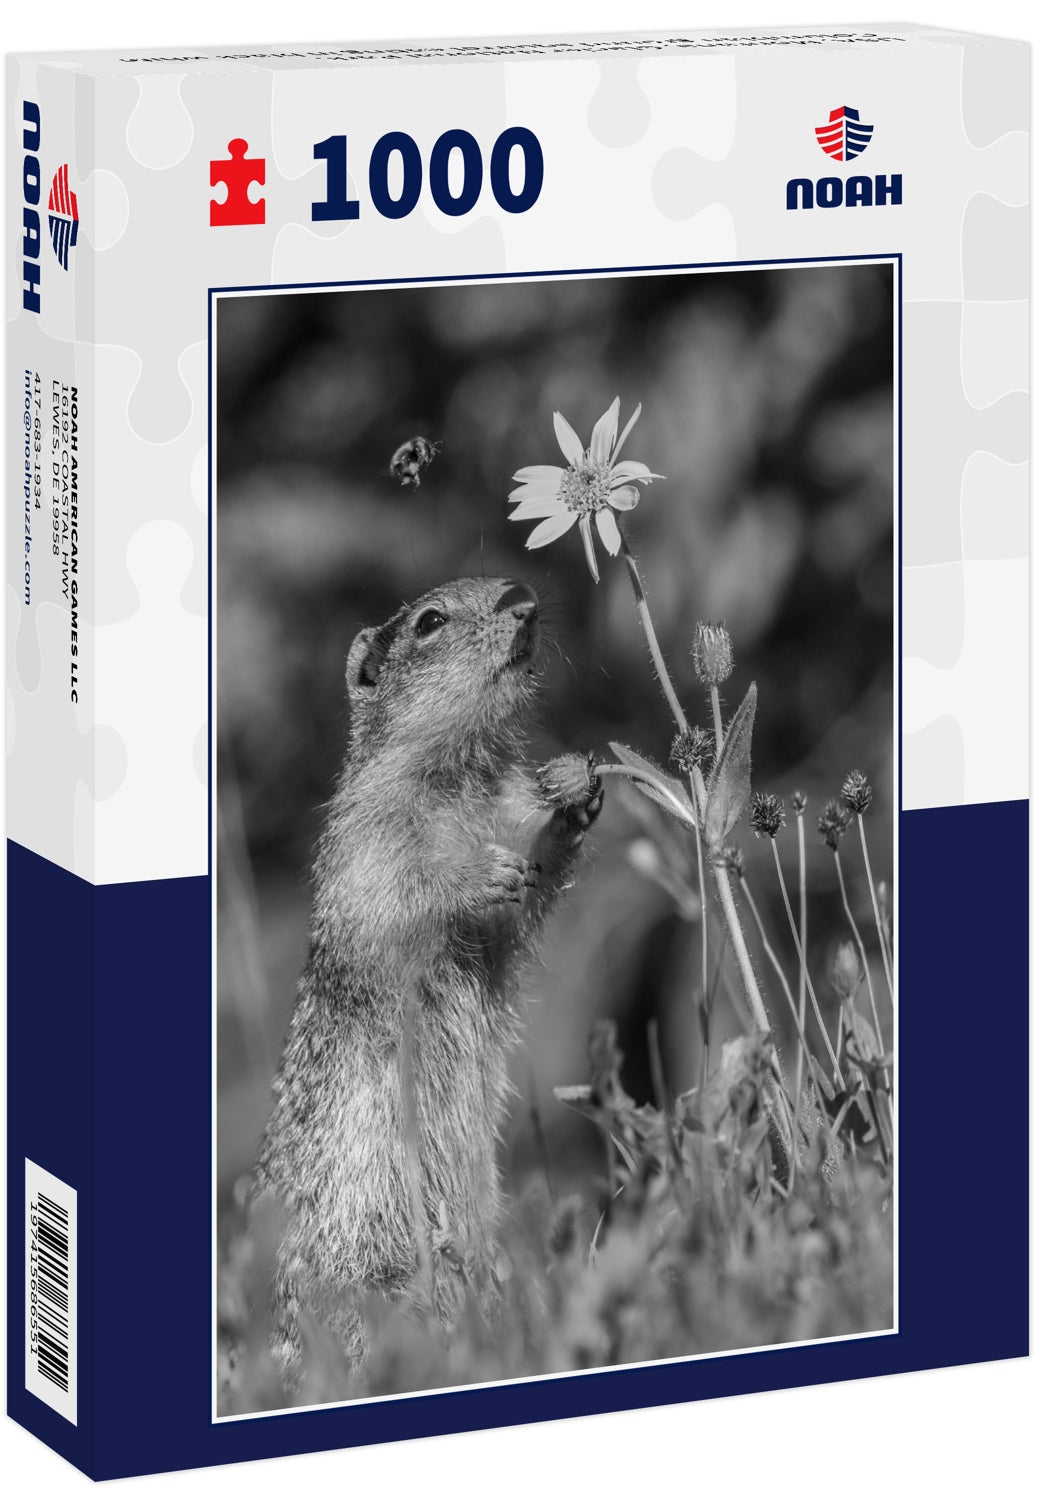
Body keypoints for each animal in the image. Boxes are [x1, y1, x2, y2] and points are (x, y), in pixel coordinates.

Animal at [252, 576, 603, 1374]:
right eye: (430, 621)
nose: (523, 596)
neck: (464, 774)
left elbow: (521, 905)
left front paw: (573, 790)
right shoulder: (366, 840)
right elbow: (397, 900)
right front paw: (478, 875)